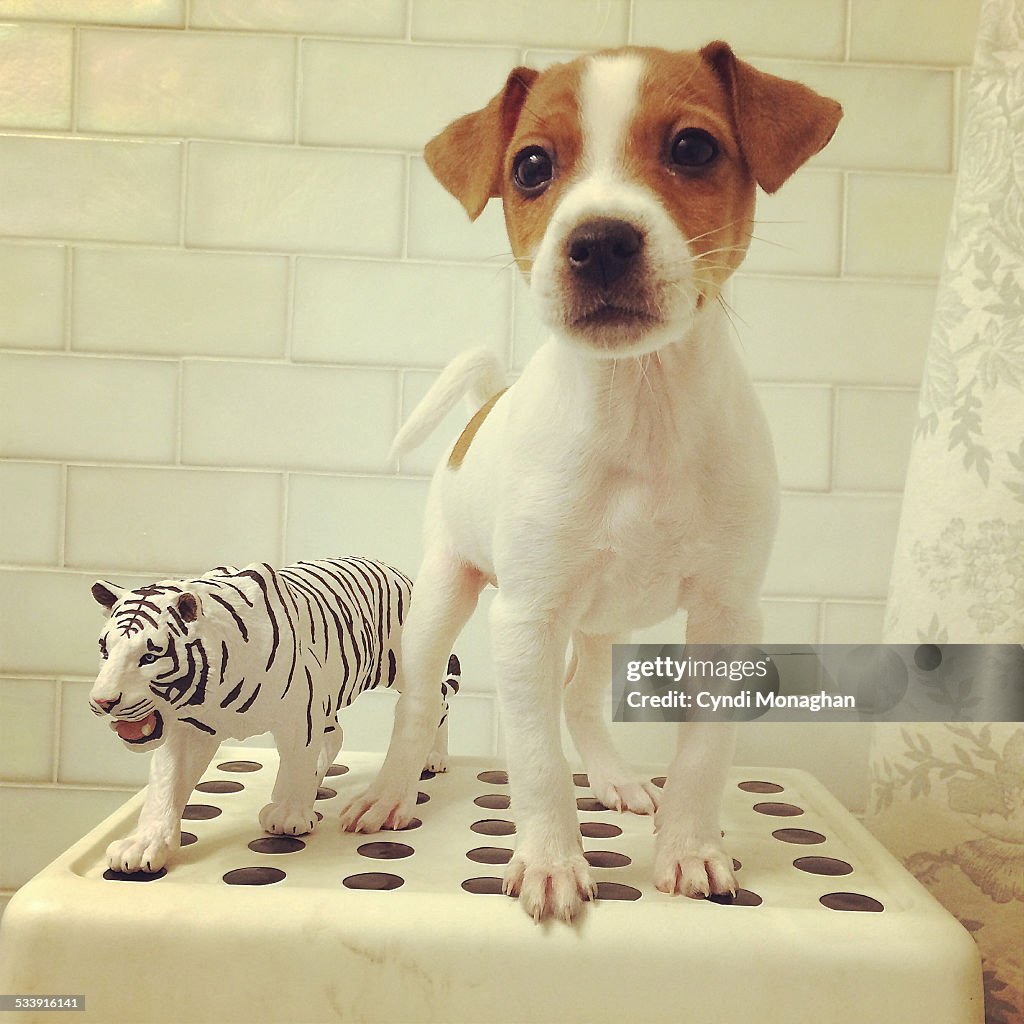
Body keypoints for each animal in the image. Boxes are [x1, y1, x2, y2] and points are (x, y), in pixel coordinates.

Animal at [339, 39, 843, 925]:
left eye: (693, 148)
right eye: (532, 166)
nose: (601, 240)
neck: (640, 407)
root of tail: (485, 405)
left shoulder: (725, 615)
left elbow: (703, 755)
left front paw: (688, 849)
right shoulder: (525, 618)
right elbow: (537, 760)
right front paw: (549, 861)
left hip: (606, 621)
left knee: (578, 694)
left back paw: (613, 777)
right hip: (443, 595)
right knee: (418, 699)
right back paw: (391, 790)